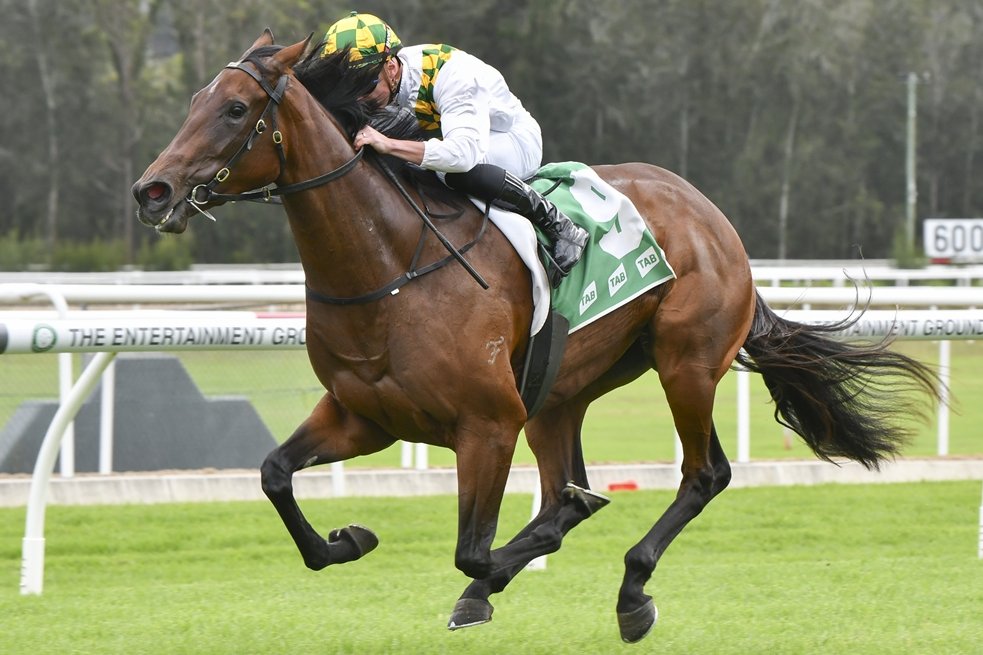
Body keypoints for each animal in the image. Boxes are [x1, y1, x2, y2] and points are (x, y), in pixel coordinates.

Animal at [129, 32, 936, 644]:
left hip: (686, 362)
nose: (152, 191)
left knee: (700, 475)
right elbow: (274, 474)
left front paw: (480, 582)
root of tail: (709, 212)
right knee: (565, 492)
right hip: (559, 394)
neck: (390, 267)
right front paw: (347, 539)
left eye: (235, 109)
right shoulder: (363, 415)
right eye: (194, 102)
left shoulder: (486, 423)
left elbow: (471, 551)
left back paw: (632, 593)